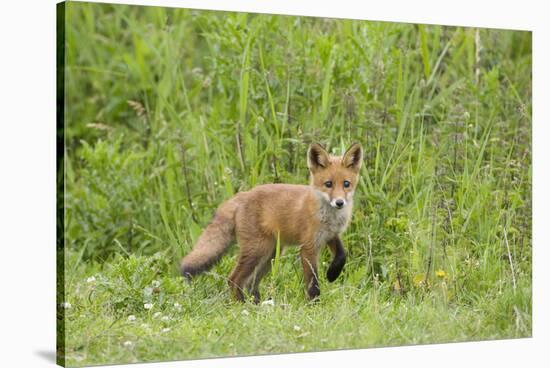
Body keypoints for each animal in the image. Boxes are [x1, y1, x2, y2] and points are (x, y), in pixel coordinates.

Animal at [179, 142, 364, 302]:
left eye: (346, 184)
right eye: (328, 184)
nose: (339, 202)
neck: (328, 217)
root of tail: (242, 195)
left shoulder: (331, 235)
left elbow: (342, 255)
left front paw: (332, 274)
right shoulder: (308, 247)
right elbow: (313, 282)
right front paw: (314, 304)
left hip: (270, 254)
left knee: (251, 283)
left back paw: (257, 305)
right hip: (257, 250)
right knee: (234, 279)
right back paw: (241, 305)